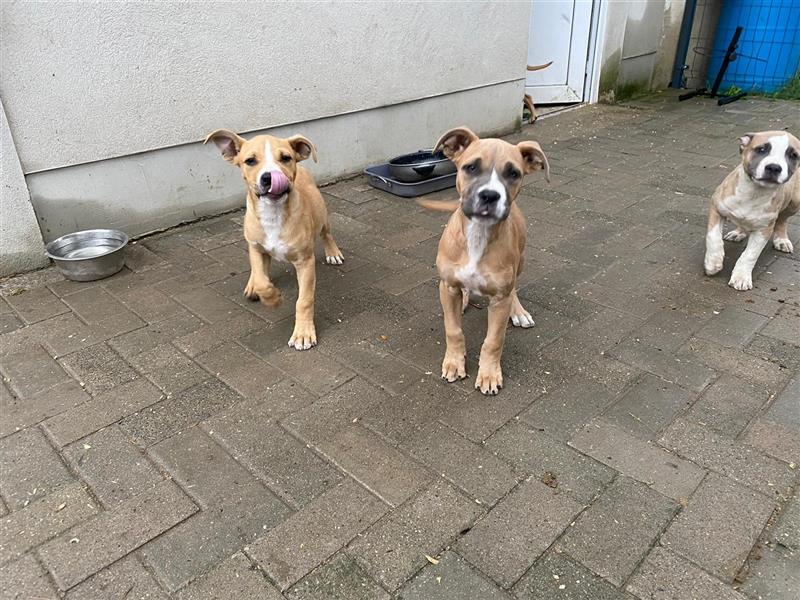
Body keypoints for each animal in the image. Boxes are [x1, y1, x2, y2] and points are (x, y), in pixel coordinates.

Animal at [205, 129, 342, 350]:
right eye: (250, 161)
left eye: (285, 158)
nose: (270, 177)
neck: (273, 213)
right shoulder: (256, 248)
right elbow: (262, 280)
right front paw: (272, 297)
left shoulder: (305, 261)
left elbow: (304, 300)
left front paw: (303, 333)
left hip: (321, 214)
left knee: (326, 233)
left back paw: (333, 252)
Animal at [418, 127, 552, 394]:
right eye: (470, 167)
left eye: (513, 173)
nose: (490, 195)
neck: (478, 234)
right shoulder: (447, 286)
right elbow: (453, 330)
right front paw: (454, 363)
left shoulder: (500, 299)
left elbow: (493, 340)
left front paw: (489, 374)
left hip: (520, 260)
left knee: (515, 287)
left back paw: (518, 311)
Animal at [708, 131, 800, 290]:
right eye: (761, 149)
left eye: (793, 155)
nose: (774, 167)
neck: (754, 193)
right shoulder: (716, 208)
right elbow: (713, 237)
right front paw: (713, 262)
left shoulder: (764, 229)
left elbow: (750, 254)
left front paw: (741, 277)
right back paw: (738, 232)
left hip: (795, 201)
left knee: (782, 220)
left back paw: (782, 239)